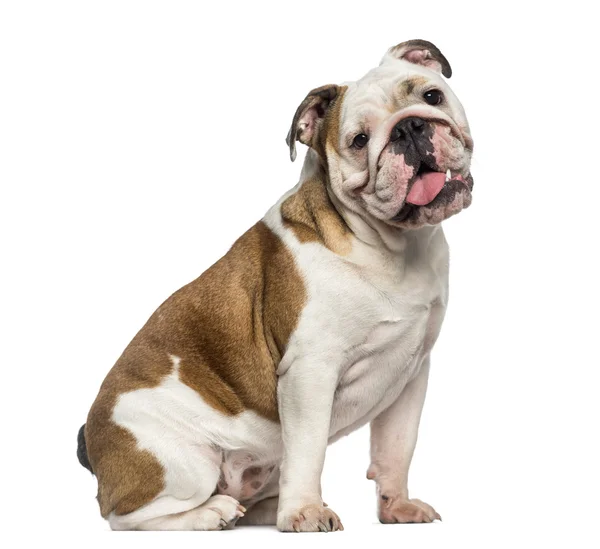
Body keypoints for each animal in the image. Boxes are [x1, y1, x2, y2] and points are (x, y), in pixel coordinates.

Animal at [78, 39, 474, 532]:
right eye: (359, 141)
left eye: (431, 96)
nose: (409, 127)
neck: (393, 246)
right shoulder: (310, 372)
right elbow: (308, 452)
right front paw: (305, 512)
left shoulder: (411, 376)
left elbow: (396, 448)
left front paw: (396, 506)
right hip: (183, 463)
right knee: (128, 515)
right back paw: (212, 513)